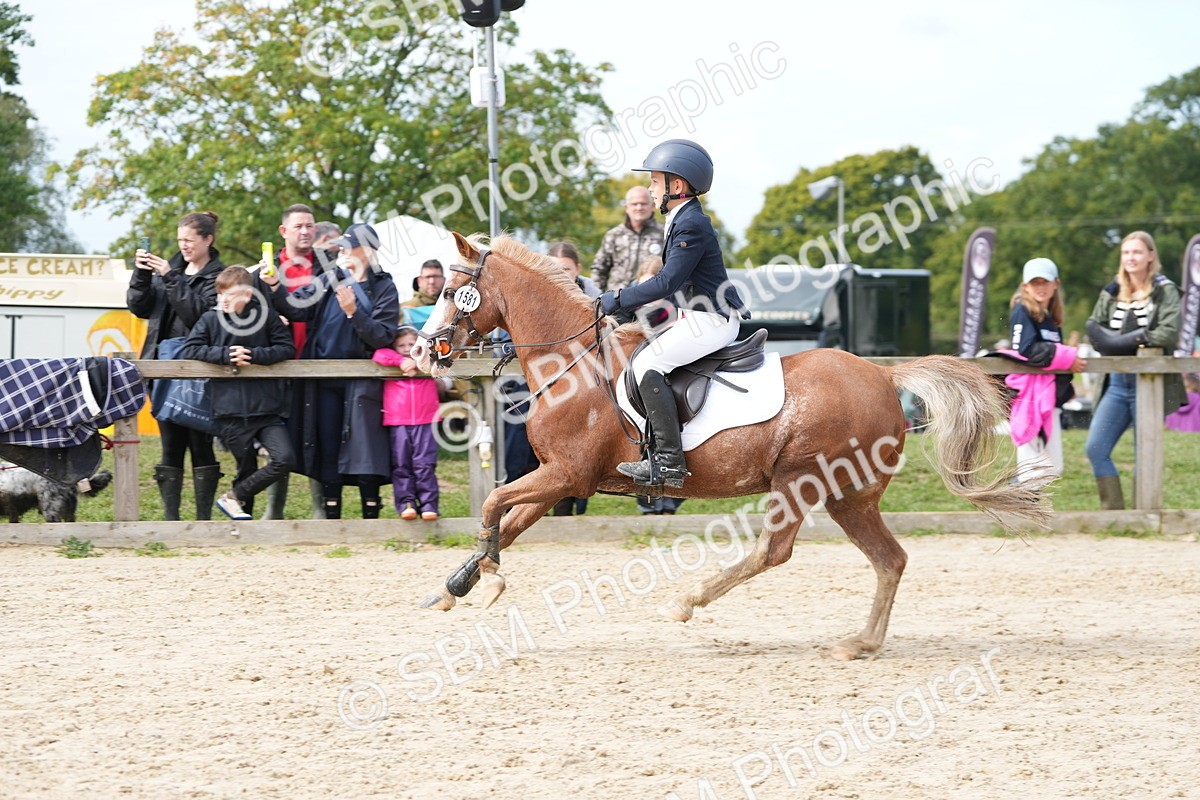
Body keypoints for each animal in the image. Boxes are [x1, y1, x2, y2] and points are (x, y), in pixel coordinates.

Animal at [411, 233, 1048, 660]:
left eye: (453, 289)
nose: (420, 350)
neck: (572, 365)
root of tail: (885, 376)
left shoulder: (568, 474)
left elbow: (494, 504)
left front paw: (488, 580)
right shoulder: (558, 476)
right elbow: (508, 520)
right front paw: (455, 586)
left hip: (802, 480)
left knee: (775, 551)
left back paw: (687, 601)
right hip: (851, 495)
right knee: (889, 559)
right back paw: (861, 642)